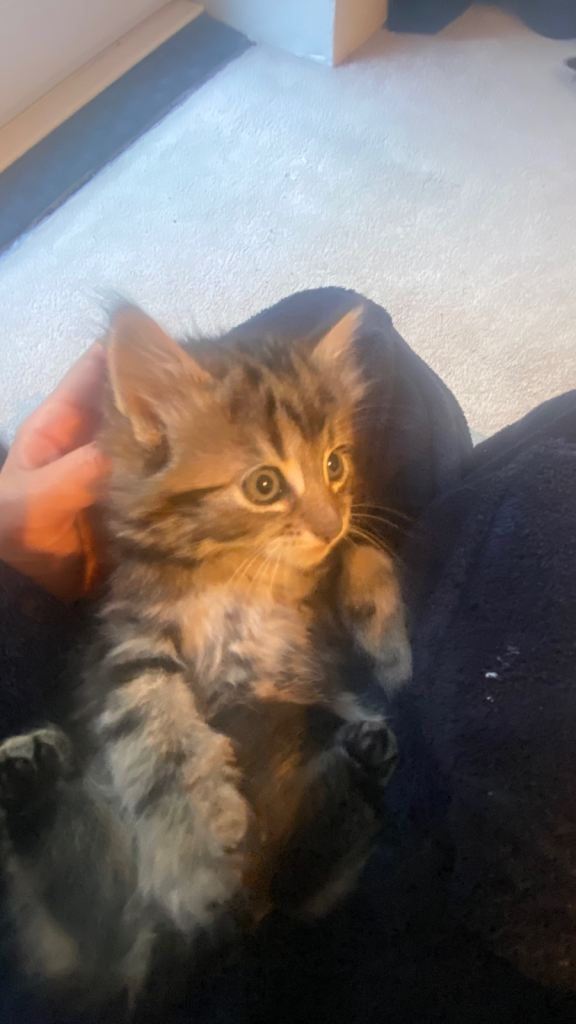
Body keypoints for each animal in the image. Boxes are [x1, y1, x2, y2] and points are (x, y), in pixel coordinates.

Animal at [0, 304, 411, 1014]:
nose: (330, 519)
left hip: (287, 879)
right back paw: (30, 777)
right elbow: (161, 735)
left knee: (299, 887)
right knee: (75, 904)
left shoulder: (312, 622)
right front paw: (195, 858)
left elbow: (362, 555)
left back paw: (362, 759)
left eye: (335, 465)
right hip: (93, 906)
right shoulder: (129, 643)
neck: (238, 574)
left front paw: (388, 640)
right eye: (265, 485)